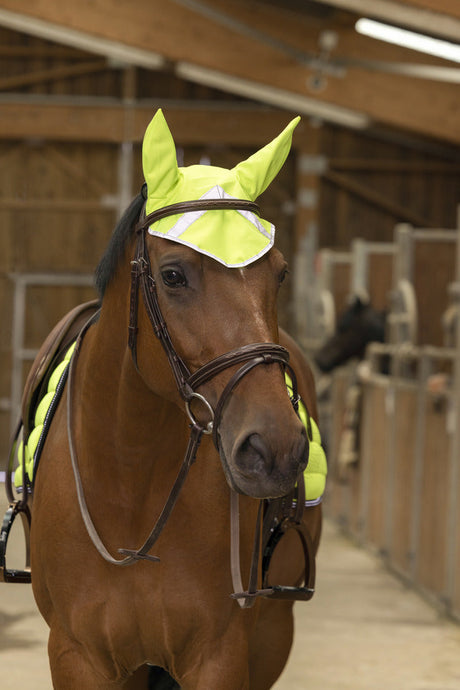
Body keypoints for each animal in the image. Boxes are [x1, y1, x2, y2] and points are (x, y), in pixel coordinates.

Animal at [8, 110, 324, 684]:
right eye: (173, 275)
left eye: (281, 272)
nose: (276, 449)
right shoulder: (77, 655)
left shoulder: (221, 656)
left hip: (272, 635)